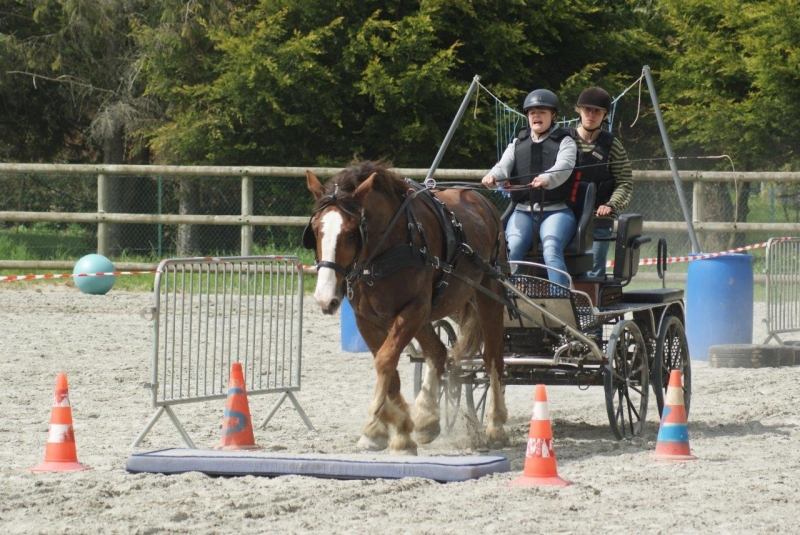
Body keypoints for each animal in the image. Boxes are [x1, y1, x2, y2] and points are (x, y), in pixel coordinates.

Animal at [304, 161, 510, 454]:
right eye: (315, 230)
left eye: (352, 232)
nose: (325, 298)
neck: (388, 248)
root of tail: (479, 199)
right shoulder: (367, 319)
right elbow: (390, 369)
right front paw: (398, 427)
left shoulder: (413, 309)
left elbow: (385, 359)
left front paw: (375, 426)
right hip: (429, 314)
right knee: (438, 352)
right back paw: (427, 417)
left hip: (488, 294)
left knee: (493, 359)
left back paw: (495, 424)